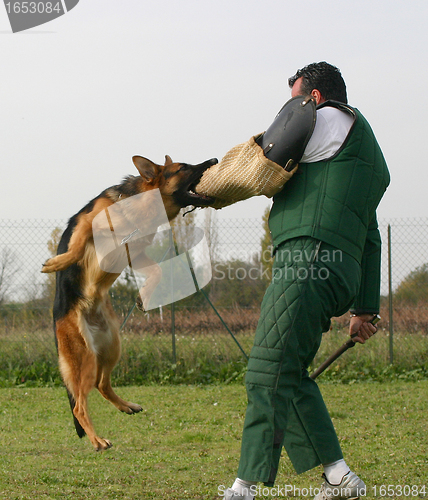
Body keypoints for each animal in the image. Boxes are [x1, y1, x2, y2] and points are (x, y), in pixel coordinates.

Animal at [41, 154, 217, 452]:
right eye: (182, 168)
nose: (214, 159)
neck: (141, 206)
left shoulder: (135, 252)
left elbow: (157, 271)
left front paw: (143, 297)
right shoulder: (88, 222)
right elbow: (76, 247)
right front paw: (59, 262)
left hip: (112, 347)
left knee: (101, 385)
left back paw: (127, 406)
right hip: (84, 358)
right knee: (79, 405)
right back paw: (97, 440)